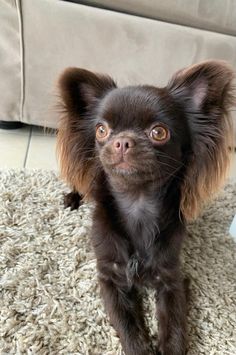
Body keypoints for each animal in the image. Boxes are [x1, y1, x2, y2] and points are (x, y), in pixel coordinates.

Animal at [56, 62, 234, 355]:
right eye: (101, 130)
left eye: (159, 132)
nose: (122, 141)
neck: (136, 203)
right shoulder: (110, 278)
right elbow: (128, 327)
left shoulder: (172, 279)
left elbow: (174, 328)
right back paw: (72, 198)